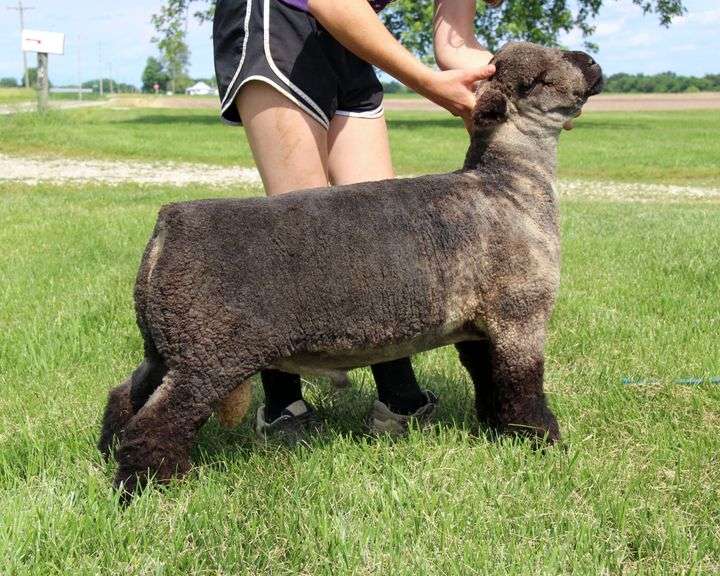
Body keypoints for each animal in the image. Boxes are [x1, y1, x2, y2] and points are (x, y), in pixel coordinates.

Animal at [98, 42, 603, 495]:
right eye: (538, 79)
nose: (592, 61)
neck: (508, 185)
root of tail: (168, 225)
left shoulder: (478, 328)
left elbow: (490, 383)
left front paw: (499, 433)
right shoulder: (520, 316)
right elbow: (522, 389)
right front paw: (543, 444)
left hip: (168, 346)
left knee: (127, 394)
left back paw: (106, 451)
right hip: (208, 353)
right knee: (159, 420)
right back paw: (143, 488)